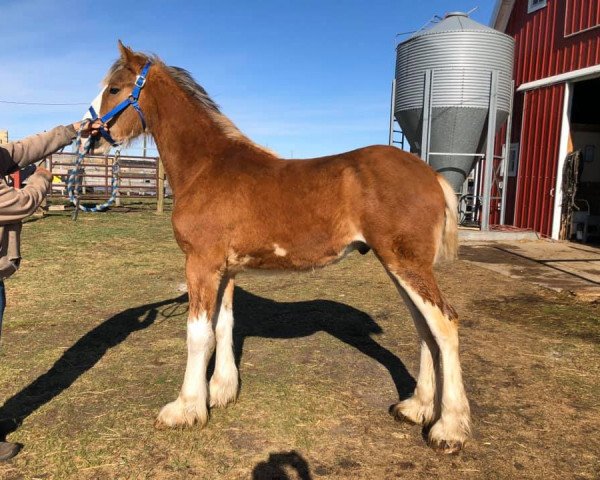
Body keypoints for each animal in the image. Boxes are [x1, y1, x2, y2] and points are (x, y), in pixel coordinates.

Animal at [98, 42, 472, 454]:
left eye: (114, 89)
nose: (90, 134)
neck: (207, 167)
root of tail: (432, 175)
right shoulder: (226, 269)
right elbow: (223, 325)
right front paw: (222, 391)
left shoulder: (200, 264)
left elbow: (198, 334)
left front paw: (185, 409)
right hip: (399, 265)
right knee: (425, 328)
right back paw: (417, 408)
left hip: (407, 264)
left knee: (445, 325)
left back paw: (448, 429)